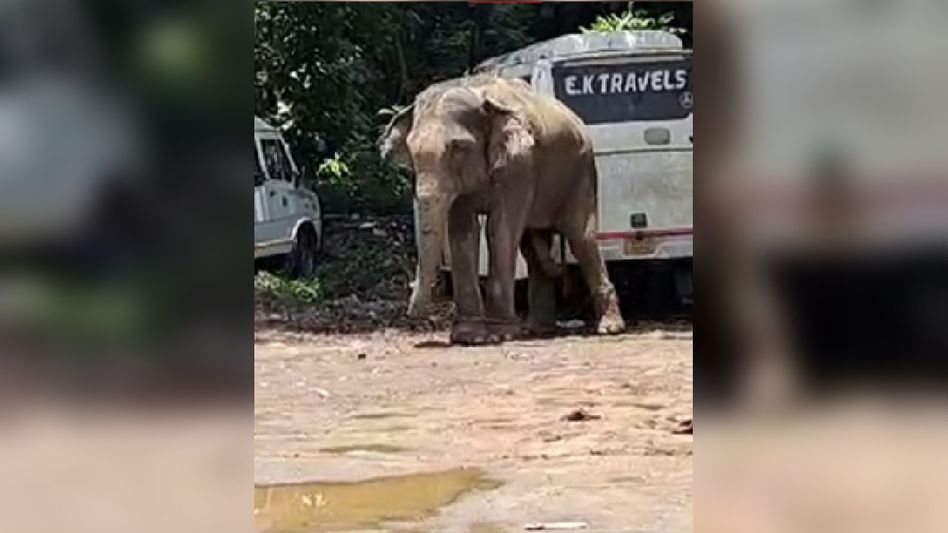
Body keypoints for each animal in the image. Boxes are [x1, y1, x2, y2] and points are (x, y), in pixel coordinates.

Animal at [380, 75, 625, 344]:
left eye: (458, 148)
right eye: (411, 152)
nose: (411, 313)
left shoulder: (518, 166)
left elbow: (499, 229)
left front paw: (500, 333)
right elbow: (464, 232)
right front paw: (469, 337)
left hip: (582, 172)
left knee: (581, 237)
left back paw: (610, 328)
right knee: (533, 247)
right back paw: (537, 329)